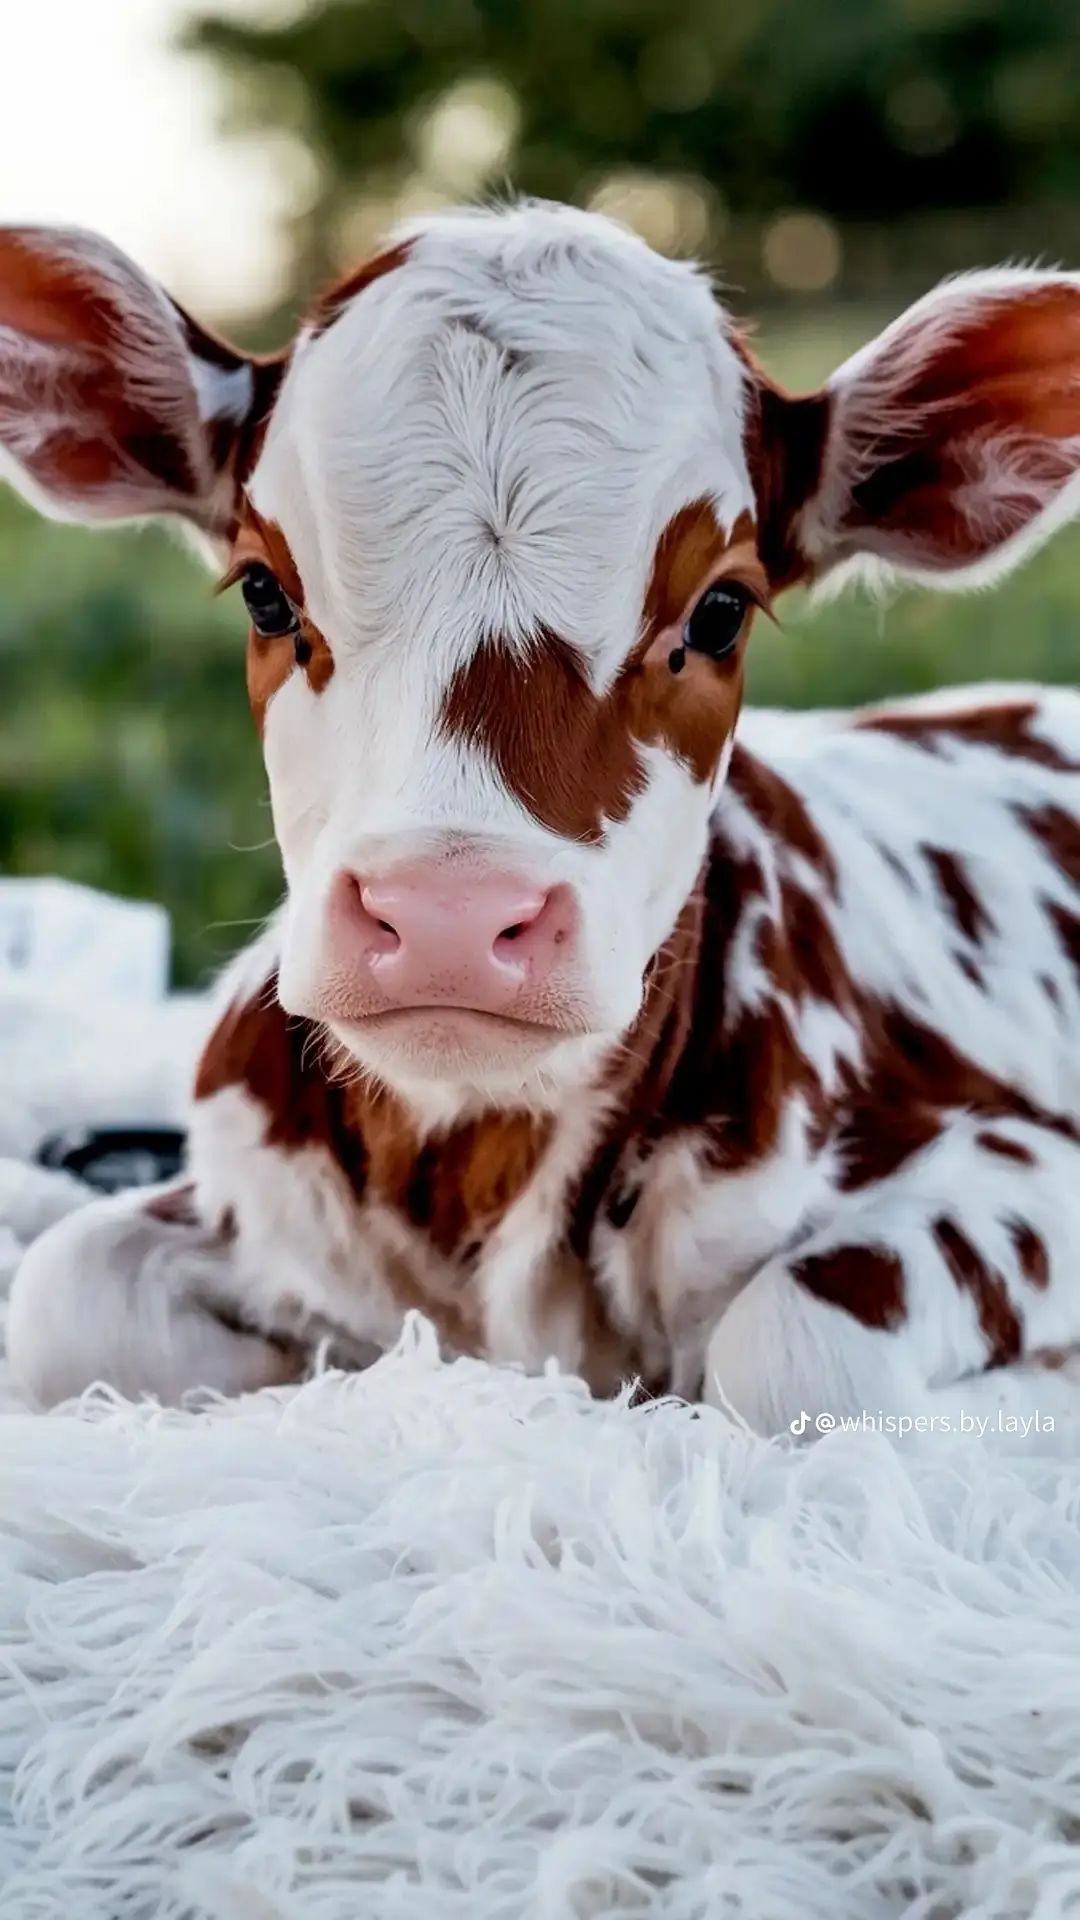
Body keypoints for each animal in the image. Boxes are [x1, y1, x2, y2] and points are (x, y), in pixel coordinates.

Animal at [4, 202, 1080, 1436]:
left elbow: (794, 1356)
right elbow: (70, 1294)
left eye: (720, 611)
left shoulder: (1021, 1164)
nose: (448, 919)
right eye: (266, 592)